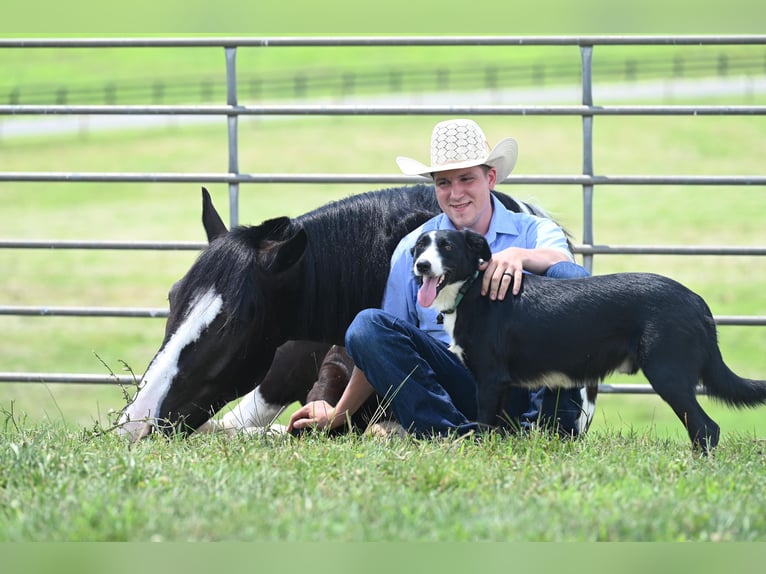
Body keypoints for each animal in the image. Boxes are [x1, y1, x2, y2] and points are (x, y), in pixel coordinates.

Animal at [414, 230, 766, 454]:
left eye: (447, 246)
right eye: (419, 246)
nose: (421, 265)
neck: (471, 290)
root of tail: (696, 301)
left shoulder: (490, 380)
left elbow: (485, 427)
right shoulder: (500, 386)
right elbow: (496, 429)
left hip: (668, 375)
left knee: (707, 428)